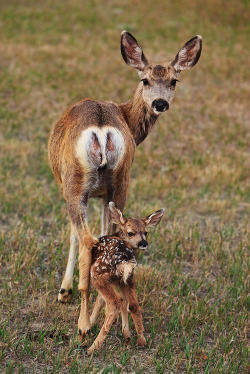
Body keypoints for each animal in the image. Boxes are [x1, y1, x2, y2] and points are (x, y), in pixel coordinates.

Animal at [87, 203, 165, 356]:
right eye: (130, 233)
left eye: (146, 232)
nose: (143, 243)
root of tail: (125, 259)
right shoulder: (122, 280)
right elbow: (125, 303)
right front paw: (127, 336)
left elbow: (103, 300)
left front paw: (89, 324)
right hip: (129, 277)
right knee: (133, 304)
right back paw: (141, 341)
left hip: (98, 274)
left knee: (114, 303)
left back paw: (92, 347)